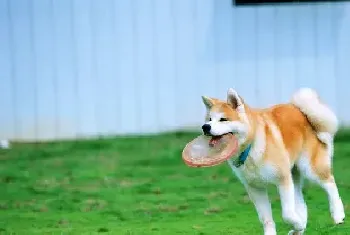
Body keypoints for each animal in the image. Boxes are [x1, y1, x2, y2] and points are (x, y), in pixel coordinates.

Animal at [201, 87, 346, 234]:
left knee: (330, 183)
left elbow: (287, 214)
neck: (251, 147)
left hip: (310, 169)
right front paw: (294, 226)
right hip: (293, 174)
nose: (205, 127)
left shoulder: (283, 180)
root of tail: (300, 111)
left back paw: (337, 214)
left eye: (223, 119)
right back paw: (299, 229)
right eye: (209, 119)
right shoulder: (255, 188)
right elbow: (266, 219)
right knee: (302, 203)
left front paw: (297, 224)